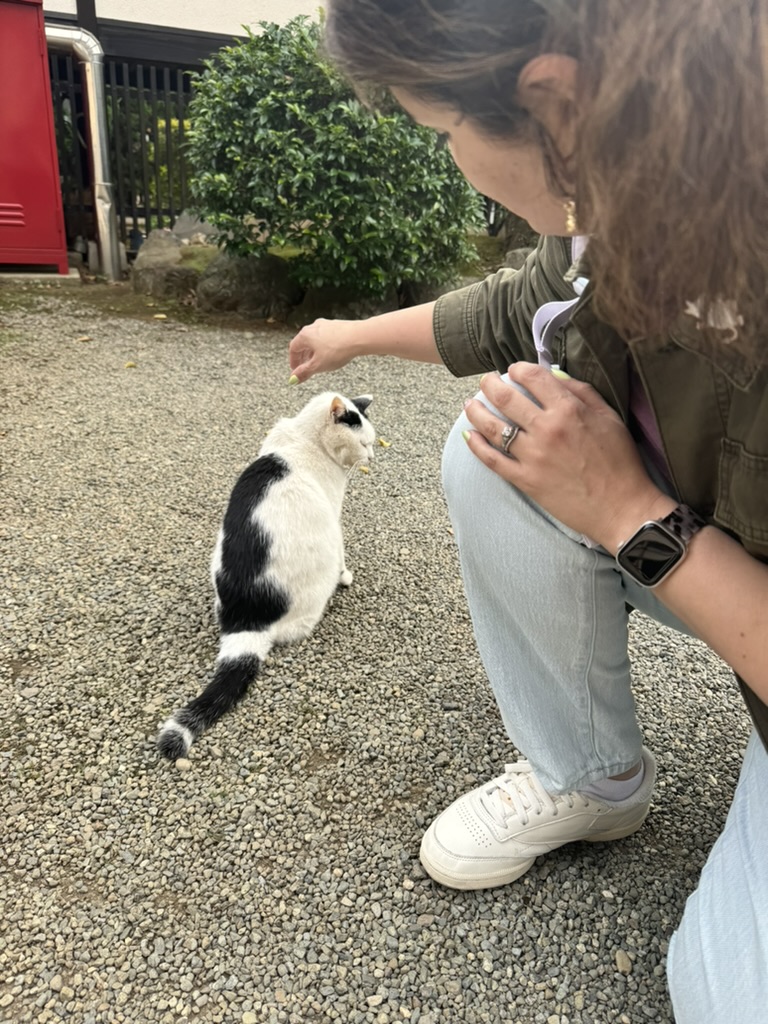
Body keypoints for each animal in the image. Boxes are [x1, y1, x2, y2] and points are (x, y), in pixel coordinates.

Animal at [156, 391, 376, 761]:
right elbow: (344, 557)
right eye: (363, 442)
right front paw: (346, 576)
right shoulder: (335, 519)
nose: (371, 456)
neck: (304, 438)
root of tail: (246, 618)